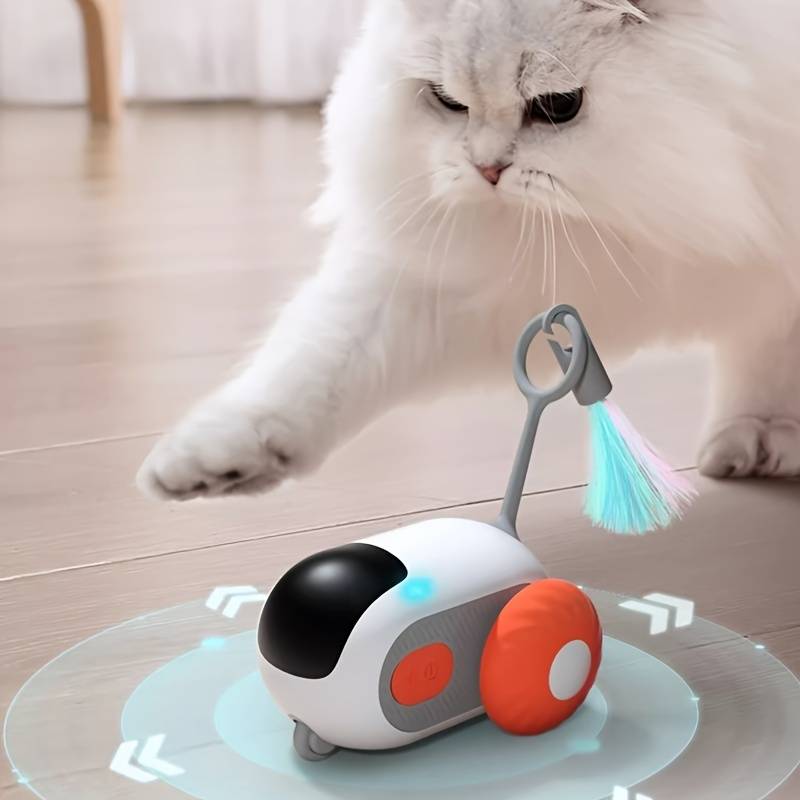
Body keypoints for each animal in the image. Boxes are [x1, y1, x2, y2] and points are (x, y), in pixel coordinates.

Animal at [138, 1, 800, 500]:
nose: (486, 170)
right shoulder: (433, 286)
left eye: (557, 106)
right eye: (446, 101)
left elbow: (767, 361)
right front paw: (210, 461)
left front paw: (763, 434)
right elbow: (312, 362)